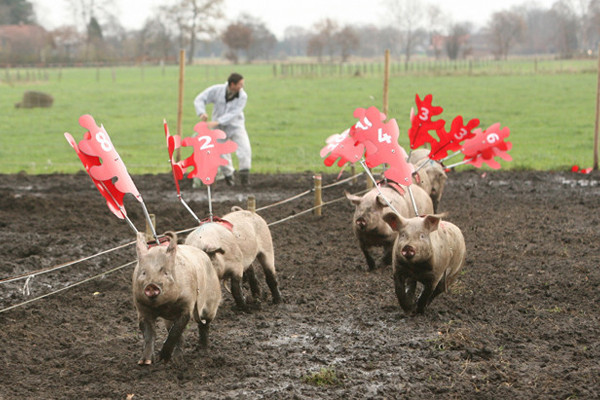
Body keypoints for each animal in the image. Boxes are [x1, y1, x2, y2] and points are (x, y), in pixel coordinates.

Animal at [132, 231, 221, 366]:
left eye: (166, 272)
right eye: (143, 273)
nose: (151, 285)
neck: (164, 306)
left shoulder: (187, 305)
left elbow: (176, 330)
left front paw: (162, 359)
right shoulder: (142, 308)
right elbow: (149, 334)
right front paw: (145, 362)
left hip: (211, 301)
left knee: (204, 324)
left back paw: (203, 352)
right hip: (168, 319)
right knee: (177, 333)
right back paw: (177, 360)